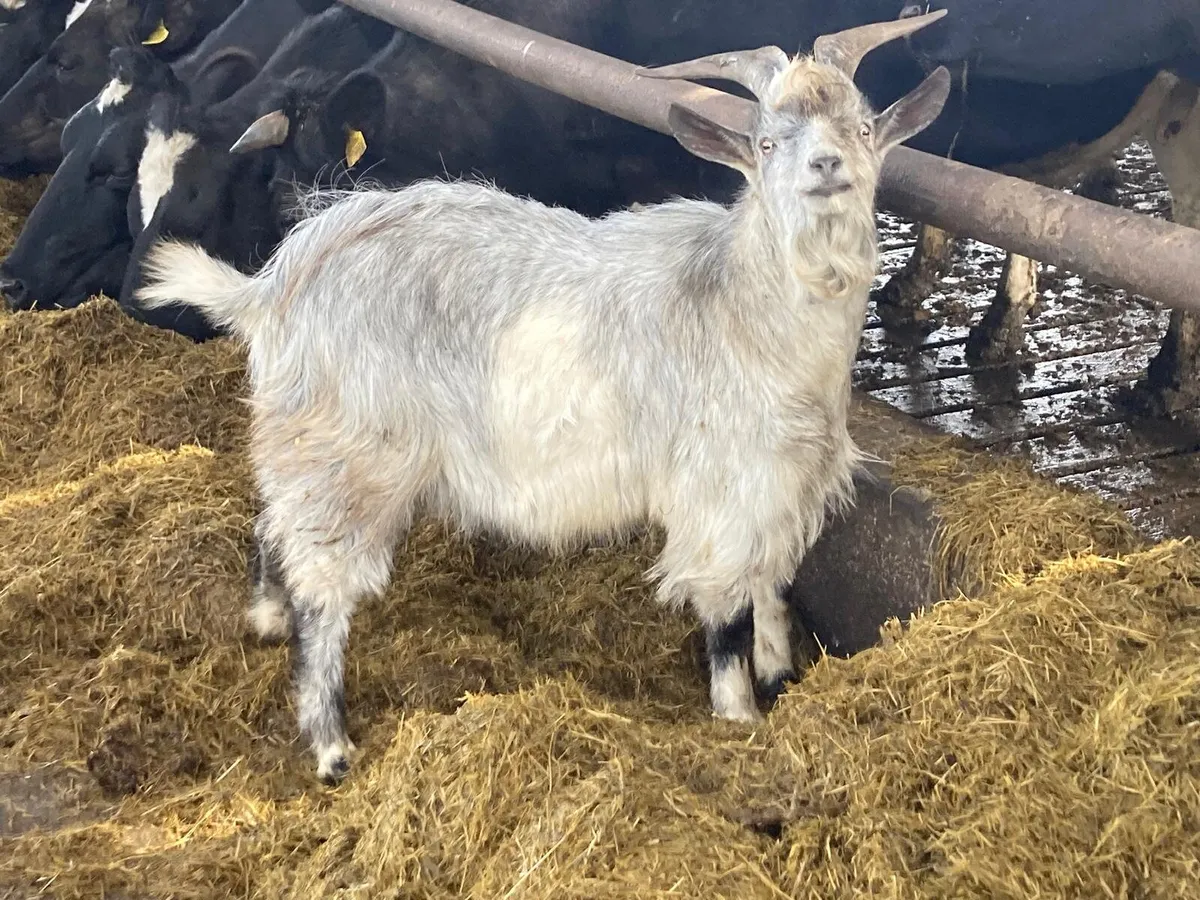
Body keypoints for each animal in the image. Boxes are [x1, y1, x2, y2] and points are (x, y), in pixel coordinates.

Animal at [136, 13, 950, 783]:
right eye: (765, 143)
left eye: (864, 126)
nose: (827, 165)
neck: (741, 300)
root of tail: (273, 285)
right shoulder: (720, 489)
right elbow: (727, 613)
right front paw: (738, 716)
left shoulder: (782, 484)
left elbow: (773, 584)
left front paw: (780, 675)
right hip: (353, 456)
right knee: (325, 592)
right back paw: (331, 746)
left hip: (306, 444)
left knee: (274, 523)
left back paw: (265, 619)